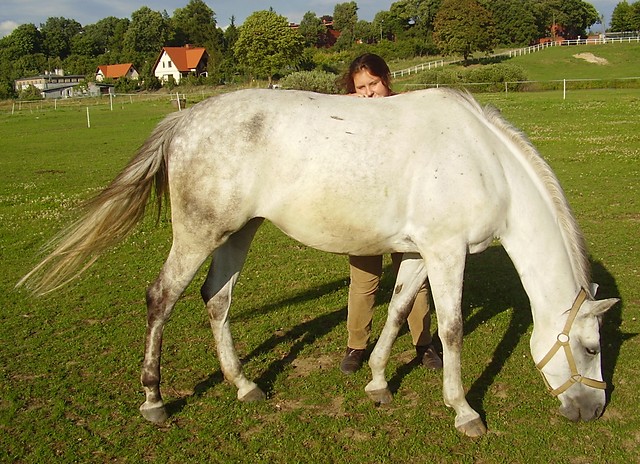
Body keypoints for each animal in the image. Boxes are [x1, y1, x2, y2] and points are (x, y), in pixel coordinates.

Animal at [20, 89, 616, 436]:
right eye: (590, 347)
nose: (593, 410)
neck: (484, 161)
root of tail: (183, 122)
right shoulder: (446, 253)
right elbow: (449, 330)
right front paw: (464, 411)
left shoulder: (421, 251)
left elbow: (397, 310)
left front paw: (377, 381)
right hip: (198, 234)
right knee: (161, 299)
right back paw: (154, 400)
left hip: (238, 234)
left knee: (216, 300)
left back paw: (245, 386)